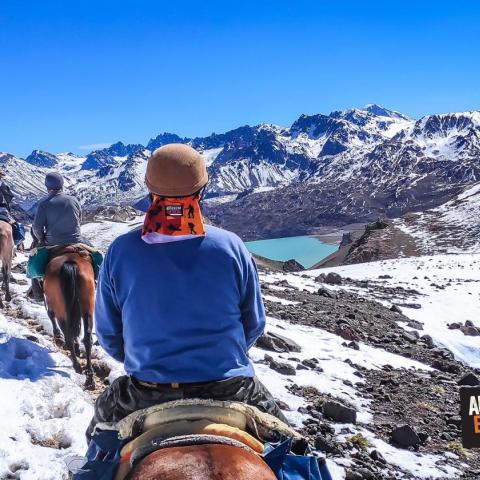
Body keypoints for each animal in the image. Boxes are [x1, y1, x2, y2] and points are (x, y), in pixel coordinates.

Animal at [44, 249, 96, 388]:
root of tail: (70, 263)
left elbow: (50, 314)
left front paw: (57, 335)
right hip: (88, 307)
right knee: (87, 338)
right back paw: (89, 376)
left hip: (60, 309)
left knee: (67, 336)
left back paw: (77, 365)